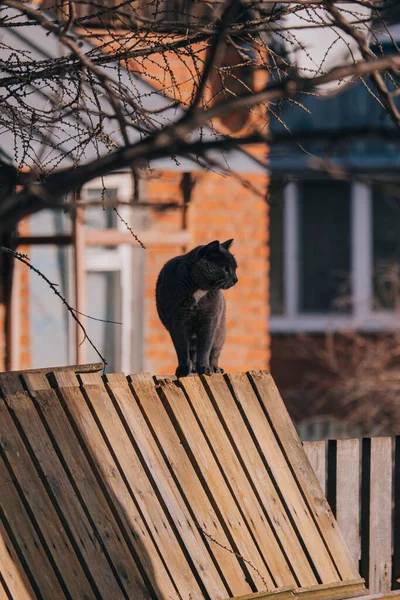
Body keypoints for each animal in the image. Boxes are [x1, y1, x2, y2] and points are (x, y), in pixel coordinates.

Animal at [155, 240, 238, 378]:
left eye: (235, 268)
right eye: (225, 268)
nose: (236, 279)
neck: (199, 291)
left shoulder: (209, 321)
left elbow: (205, 347)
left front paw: (204, 368)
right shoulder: (177, 323)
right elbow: (182, 348)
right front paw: (183, 369)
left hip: (220, 332)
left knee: (213, 352)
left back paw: (214, 368)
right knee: (192, 351)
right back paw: (192, 368)